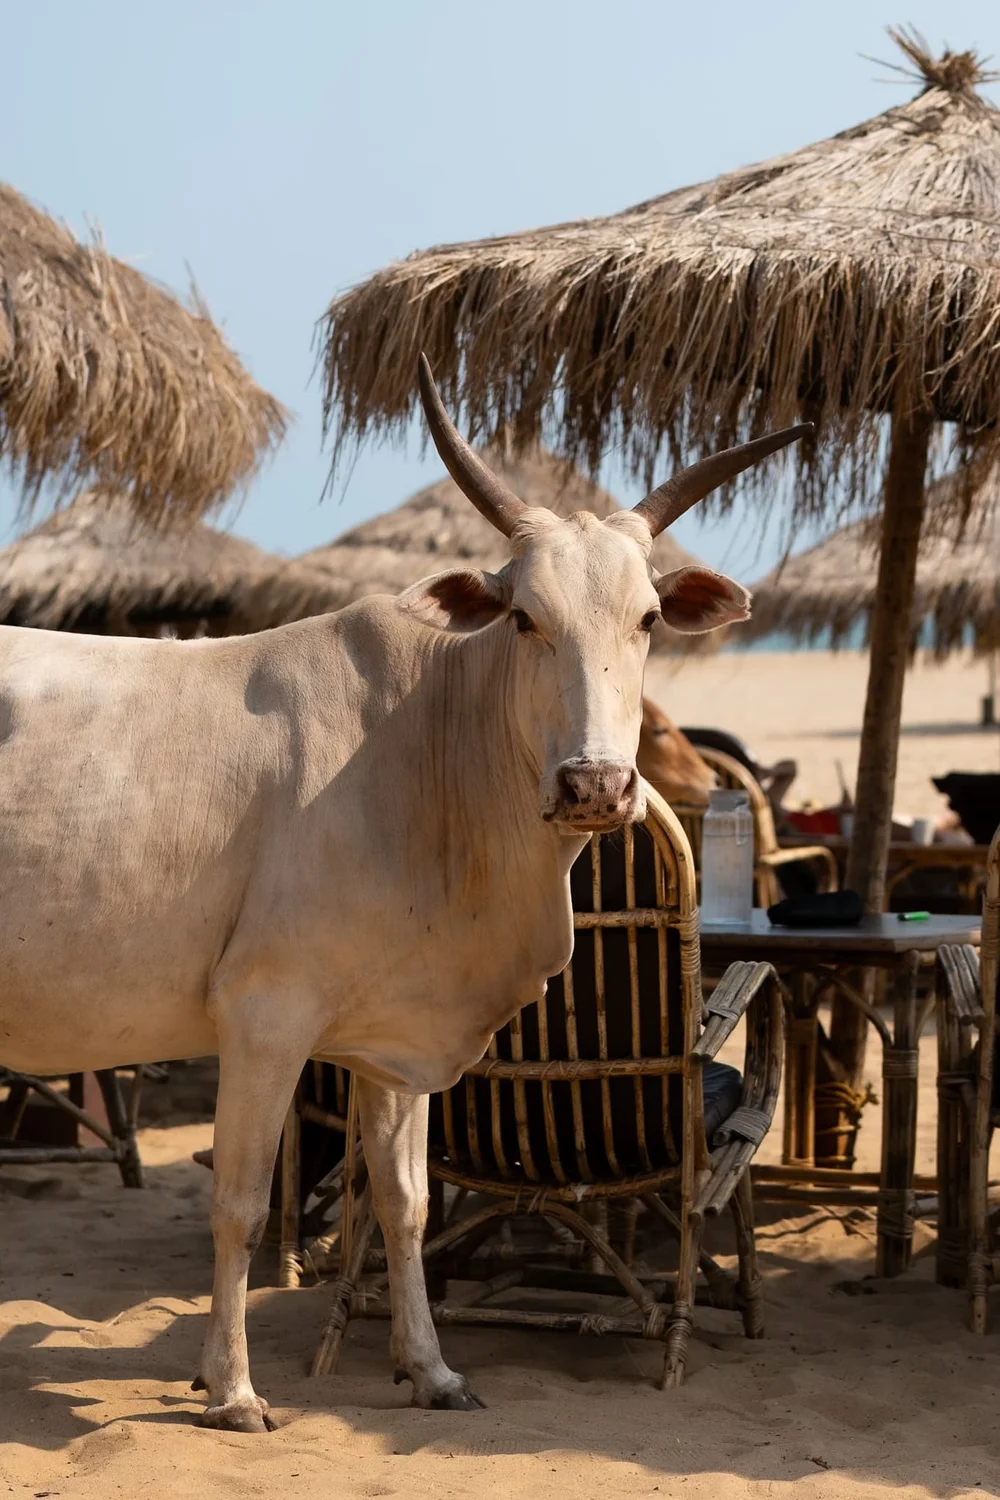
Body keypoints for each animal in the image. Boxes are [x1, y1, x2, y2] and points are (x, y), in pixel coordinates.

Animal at [0, 356, 807, 1430]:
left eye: (646, 620)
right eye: (523, 617)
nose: (595, 786)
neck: (428, 752)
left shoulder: (395, 1038)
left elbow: (407, 1202)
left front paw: (430, 1368)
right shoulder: (264, 1017)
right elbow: (241, 1205)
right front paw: (233, 1388)